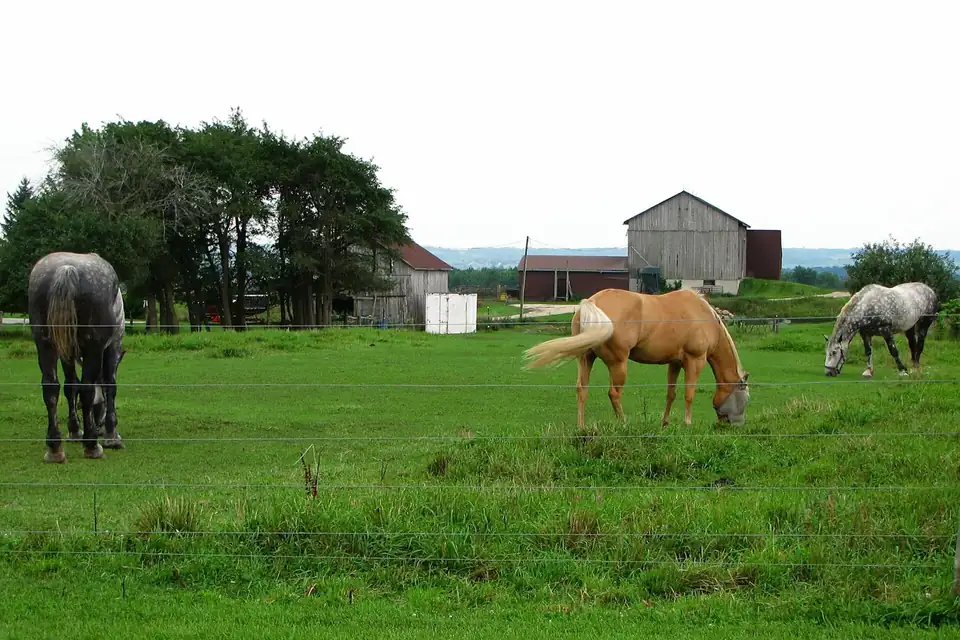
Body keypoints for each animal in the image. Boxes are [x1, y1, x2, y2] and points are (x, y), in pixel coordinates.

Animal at [28, 251, 127, 463]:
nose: (99, 426)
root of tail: (66, 268)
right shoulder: (113, 347)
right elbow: (109, 386)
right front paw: (112, 435)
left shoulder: (67, 353)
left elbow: (70, 387)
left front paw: (74, 430)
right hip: (94, 347)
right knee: (87, 389)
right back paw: (92, 446)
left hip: (45, 344)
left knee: (50, 388)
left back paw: (55, 448)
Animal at [523, 288, 750, 428]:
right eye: (746, 399)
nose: (737, 425)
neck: (704, 316)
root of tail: (592, 302)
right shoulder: (695, 361)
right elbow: (689, 394)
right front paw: (687, 423)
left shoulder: (675, 363)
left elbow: (671, 394)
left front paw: (665, 423)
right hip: (618, 364)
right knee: (614, 394)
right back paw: (623, 423)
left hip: (586, 358)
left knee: (582, 389)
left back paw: (581, 427)